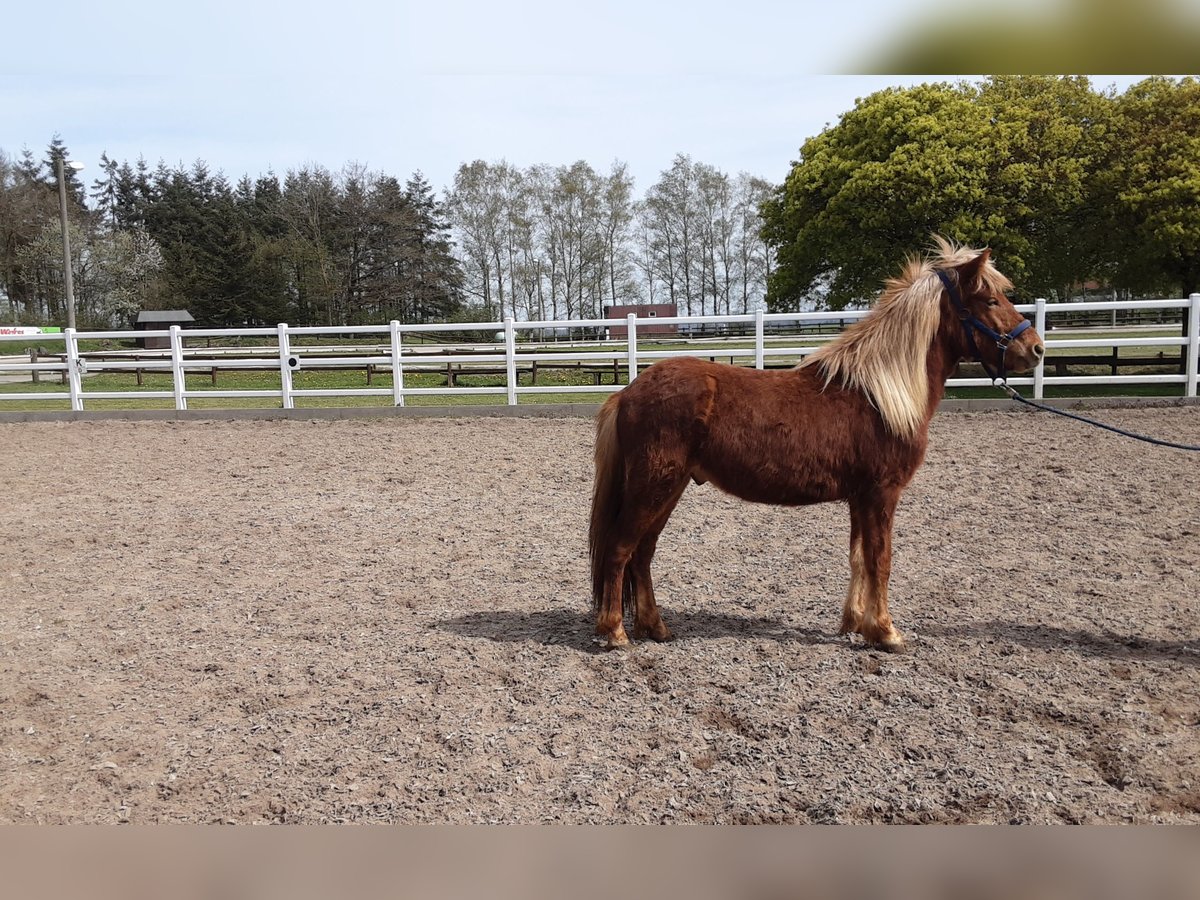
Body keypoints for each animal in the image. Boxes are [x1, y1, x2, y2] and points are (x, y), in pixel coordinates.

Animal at [588, 236, 1041, 652]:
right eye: (989, 299)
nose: (1034, 348)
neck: (878, 394)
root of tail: (627, 393)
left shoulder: (861, 497)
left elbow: (859, 558)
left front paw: (857, 623)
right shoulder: (882, 494)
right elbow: (881, 560)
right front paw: (887, 631)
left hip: (670, 487)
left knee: (643, 553)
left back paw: (655, 627)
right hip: (653, 485)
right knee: (621, 548)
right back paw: (614, 631)